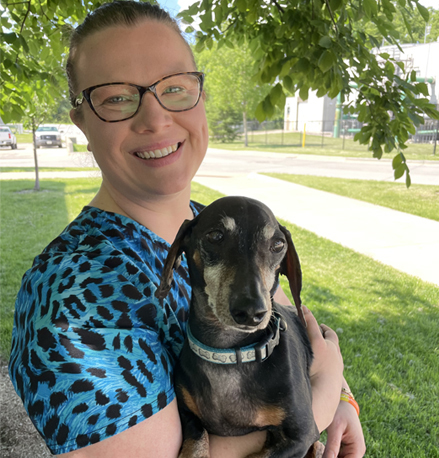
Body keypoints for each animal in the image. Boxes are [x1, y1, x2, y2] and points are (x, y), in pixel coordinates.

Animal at [156, 197, 322, 458]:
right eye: (215, 235)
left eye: (278, 244)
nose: (252, 312)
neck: (229, 355)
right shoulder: (188, 416)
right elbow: (196, 442)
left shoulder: (301, 435)